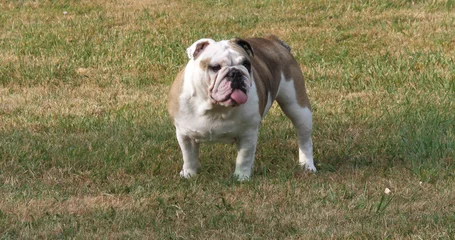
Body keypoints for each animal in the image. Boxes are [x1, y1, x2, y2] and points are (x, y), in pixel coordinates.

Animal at [168, 35, 318, 180]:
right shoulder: (185, 135)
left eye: (246, 64)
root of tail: (273, 40)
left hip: (298, 108)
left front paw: (241, 177)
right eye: (215, 67)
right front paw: (189, 174)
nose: (235, 72)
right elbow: (189, 157)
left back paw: (306, 164)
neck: (216, 108)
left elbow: (244, 158)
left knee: (305, 139)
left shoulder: (248, 134)